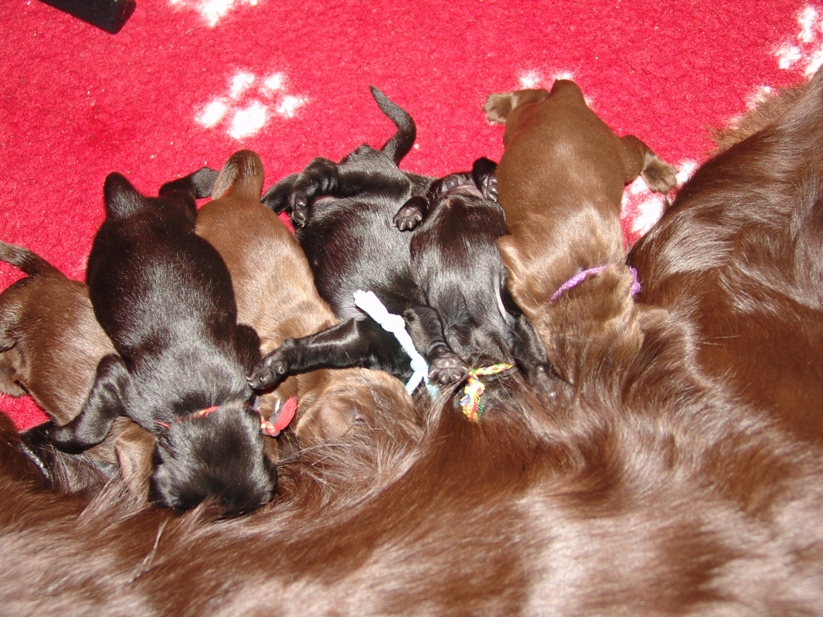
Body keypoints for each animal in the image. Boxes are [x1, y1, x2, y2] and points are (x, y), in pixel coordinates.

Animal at [46, 173, 277, 515]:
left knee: (172, 190)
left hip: (174, 215)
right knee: (172, 191)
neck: (201, 404)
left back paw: (204, 179)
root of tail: (129, 208)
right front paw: (59, 436)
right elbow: (91, 426)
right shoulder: (119, 380)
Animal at [250, 87, 552, 401]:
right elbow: (431, 333)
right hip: (370, 176)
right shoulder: (417, 309)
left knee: (296, 182)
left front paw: (273, 366)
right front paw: (445, 361)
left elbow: (312, 348)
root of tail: (387, 159)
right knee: (323, 169)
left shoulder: (362, 335)